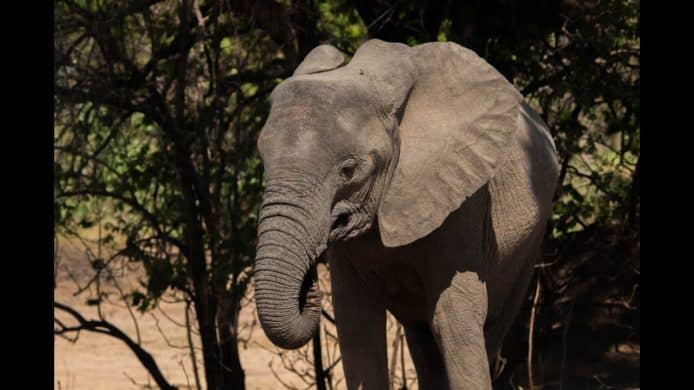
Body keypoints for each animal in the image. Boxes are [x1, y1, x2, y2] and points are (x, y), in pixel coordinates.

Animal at [253, 38, 564, 388]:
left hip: (528, 242)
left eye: (348, 170)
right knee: (422, 339)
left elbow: (453, 317)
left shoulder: (462, 201)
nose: (310, 285)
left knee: (491, 325)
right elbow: (358, 327)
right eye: (262, 159)